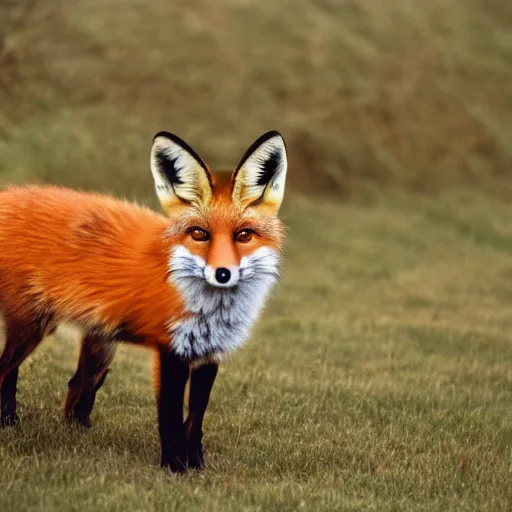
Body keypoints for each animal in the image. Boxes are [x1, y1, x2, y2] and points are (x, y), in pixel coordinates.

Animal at [0, 131, 288, 472]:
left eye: (244, 235)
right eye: (199, 234)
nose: (222, 274)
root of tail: (8, 195)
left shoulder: (209, 353)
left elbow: (195, 419)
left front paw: (197, 467)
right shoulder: (171, 350)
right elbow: (171, 418)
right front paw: (174, 468)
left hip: (99, 346)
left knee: (74, 386)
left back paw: (70, 432)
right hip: (32, 328)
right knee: (6, 370)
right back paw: (9, 423)